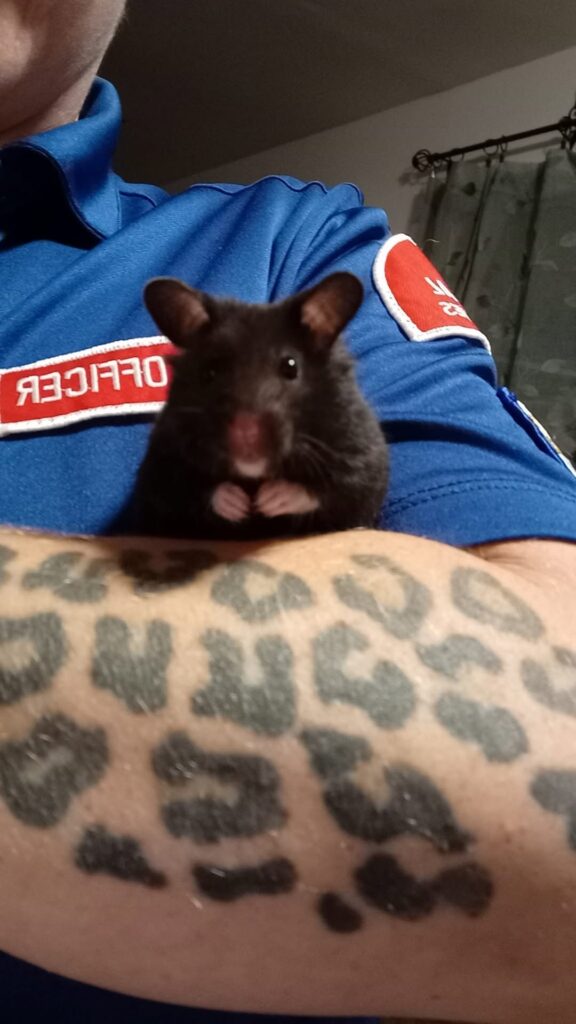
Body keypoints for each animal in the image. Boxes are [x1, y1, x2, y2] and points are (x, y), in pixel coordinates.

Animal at [132, 271, 389, 539]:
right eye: (209, 373)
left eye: (290, 366)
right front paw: (239, 504)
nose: (247, 440)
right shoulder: (162, 465)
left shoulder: (363, 458)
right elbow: (190, 492)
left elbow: (328, 490)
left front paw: (268, 499)